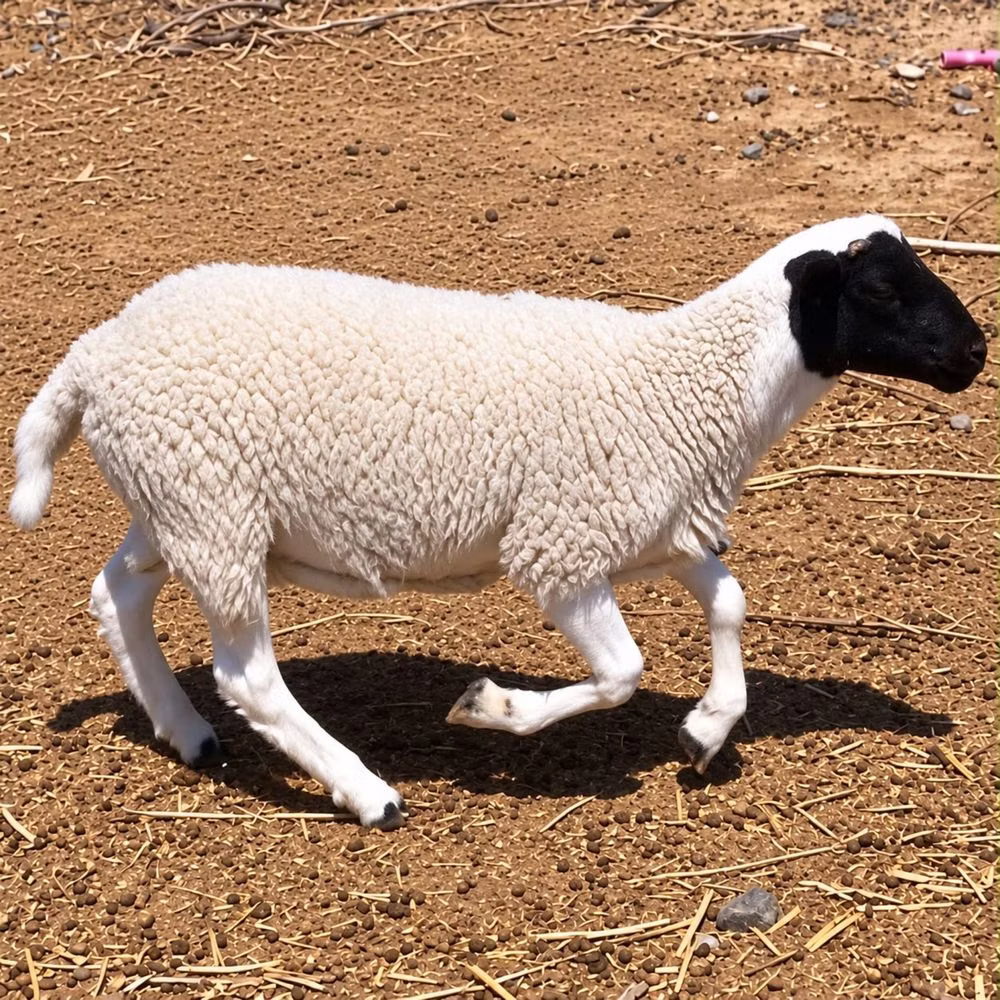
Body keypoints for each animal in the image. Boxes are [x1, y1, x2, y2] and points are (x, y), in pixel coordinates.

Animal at [9, 214, 986, 829]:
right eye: (884, 288)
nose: (976, 353)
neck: (688, 383)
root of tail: (90, 356)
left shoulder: (657, 528)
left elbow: (730, 603)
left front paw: (708, 730)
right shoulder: (562, 545)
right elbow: (622, 673)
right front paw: (490, 706)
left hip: (177, 502)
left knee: (115, 594)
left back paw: (185, 733)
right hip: (212, 511)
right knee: (248, 676)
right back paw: (367, 792)